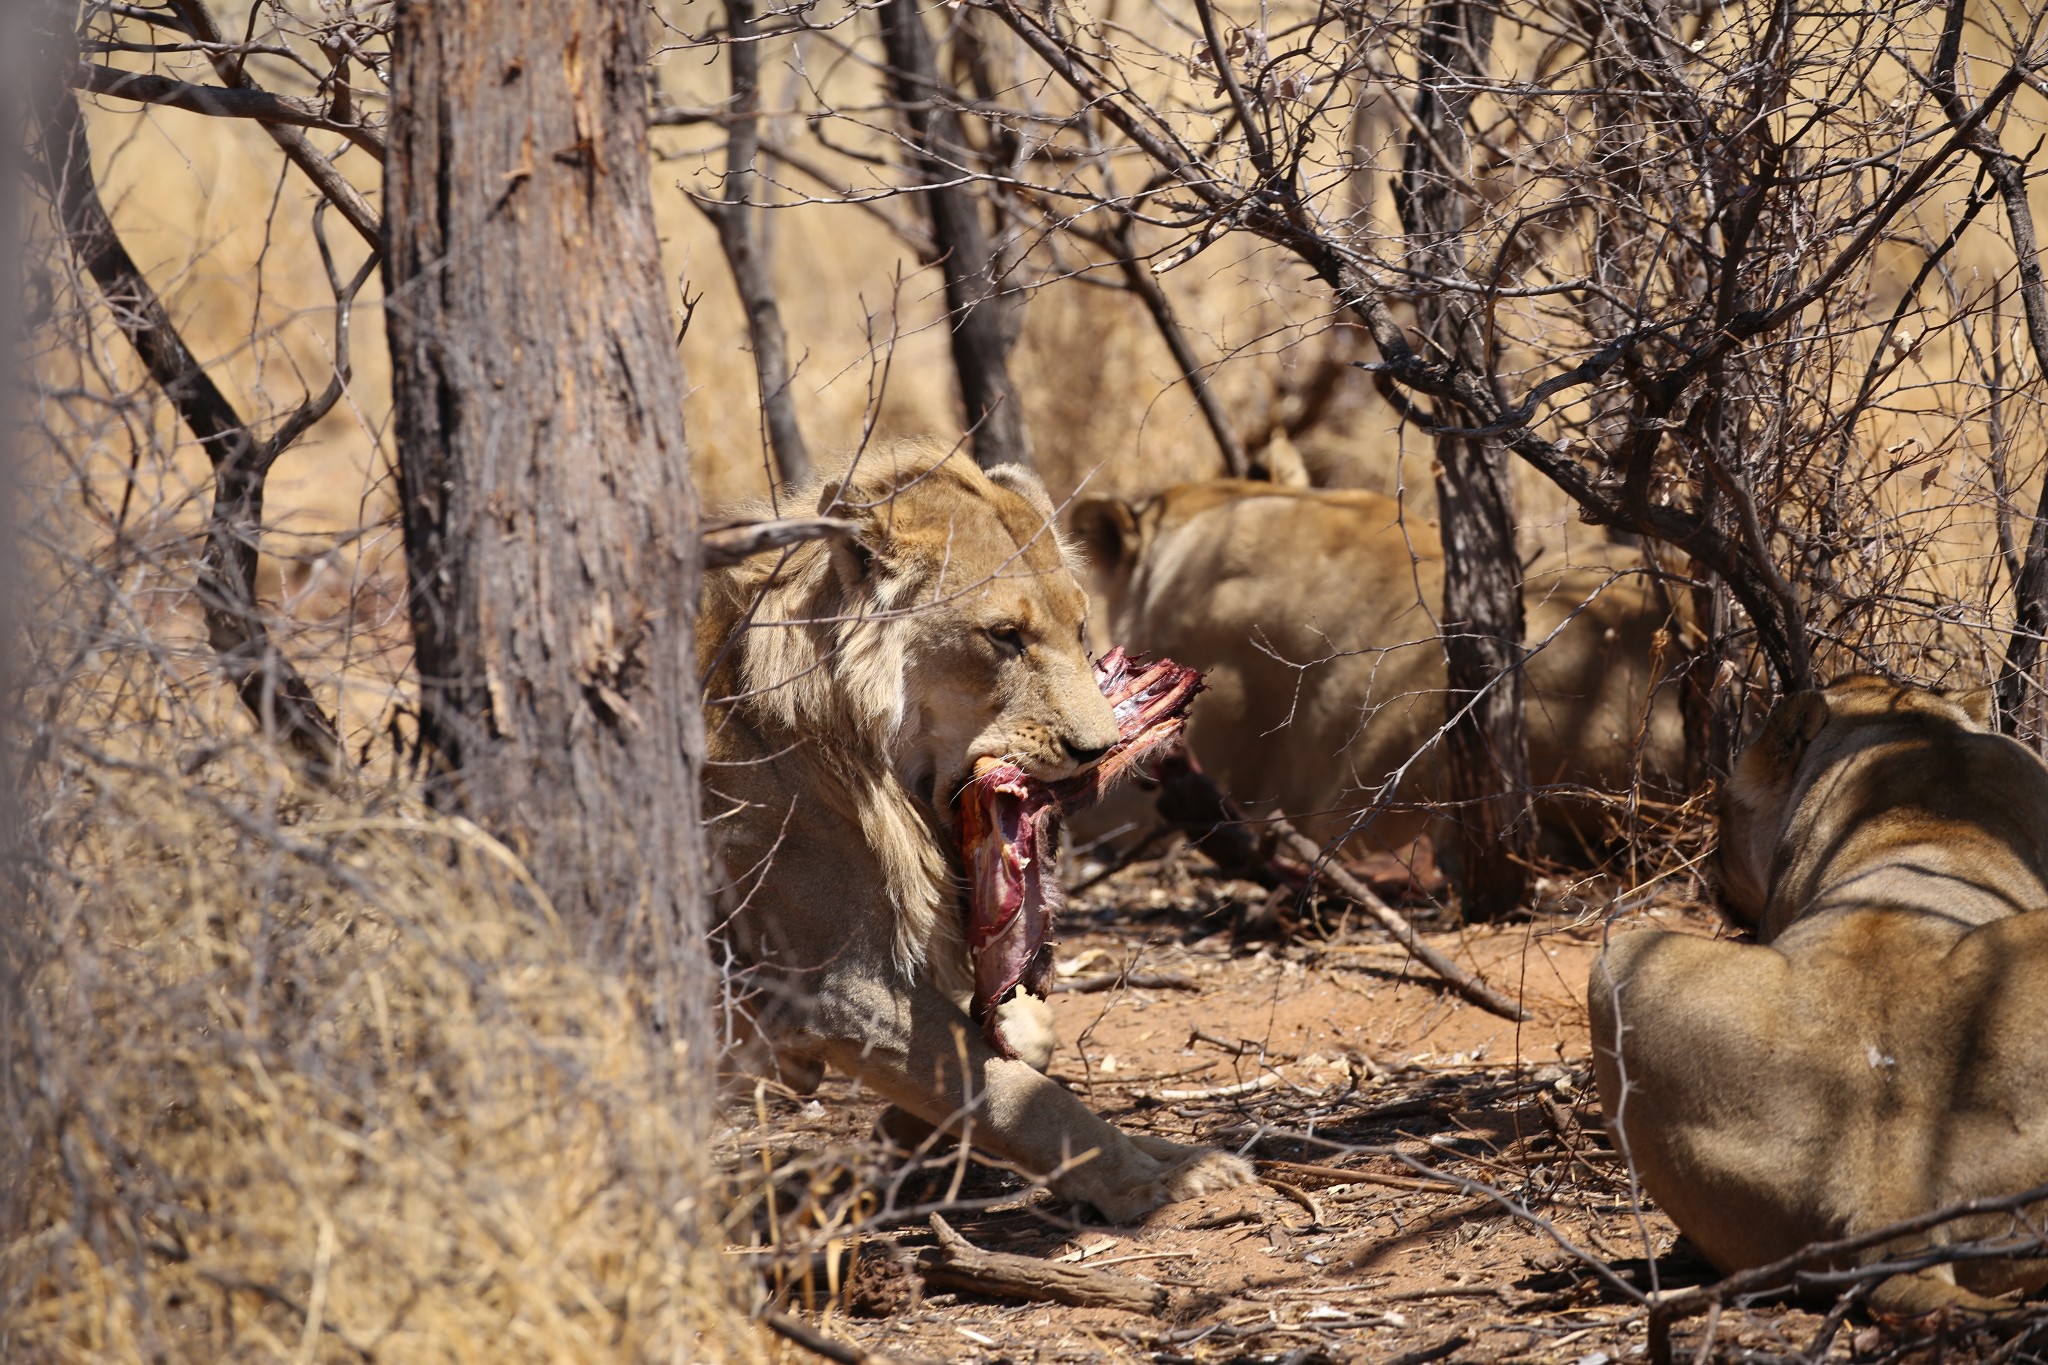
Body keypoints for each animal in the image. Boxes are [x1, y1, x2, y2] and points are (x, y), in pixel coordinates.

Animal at [700, 444, 1245, 1219]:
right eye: (1005, 636)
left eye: (1080, 629)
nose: (1101, 748)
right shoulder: (837, 984)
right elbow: (1022, 1096)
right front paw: (1151, 1180)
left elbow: (1015, 1054)